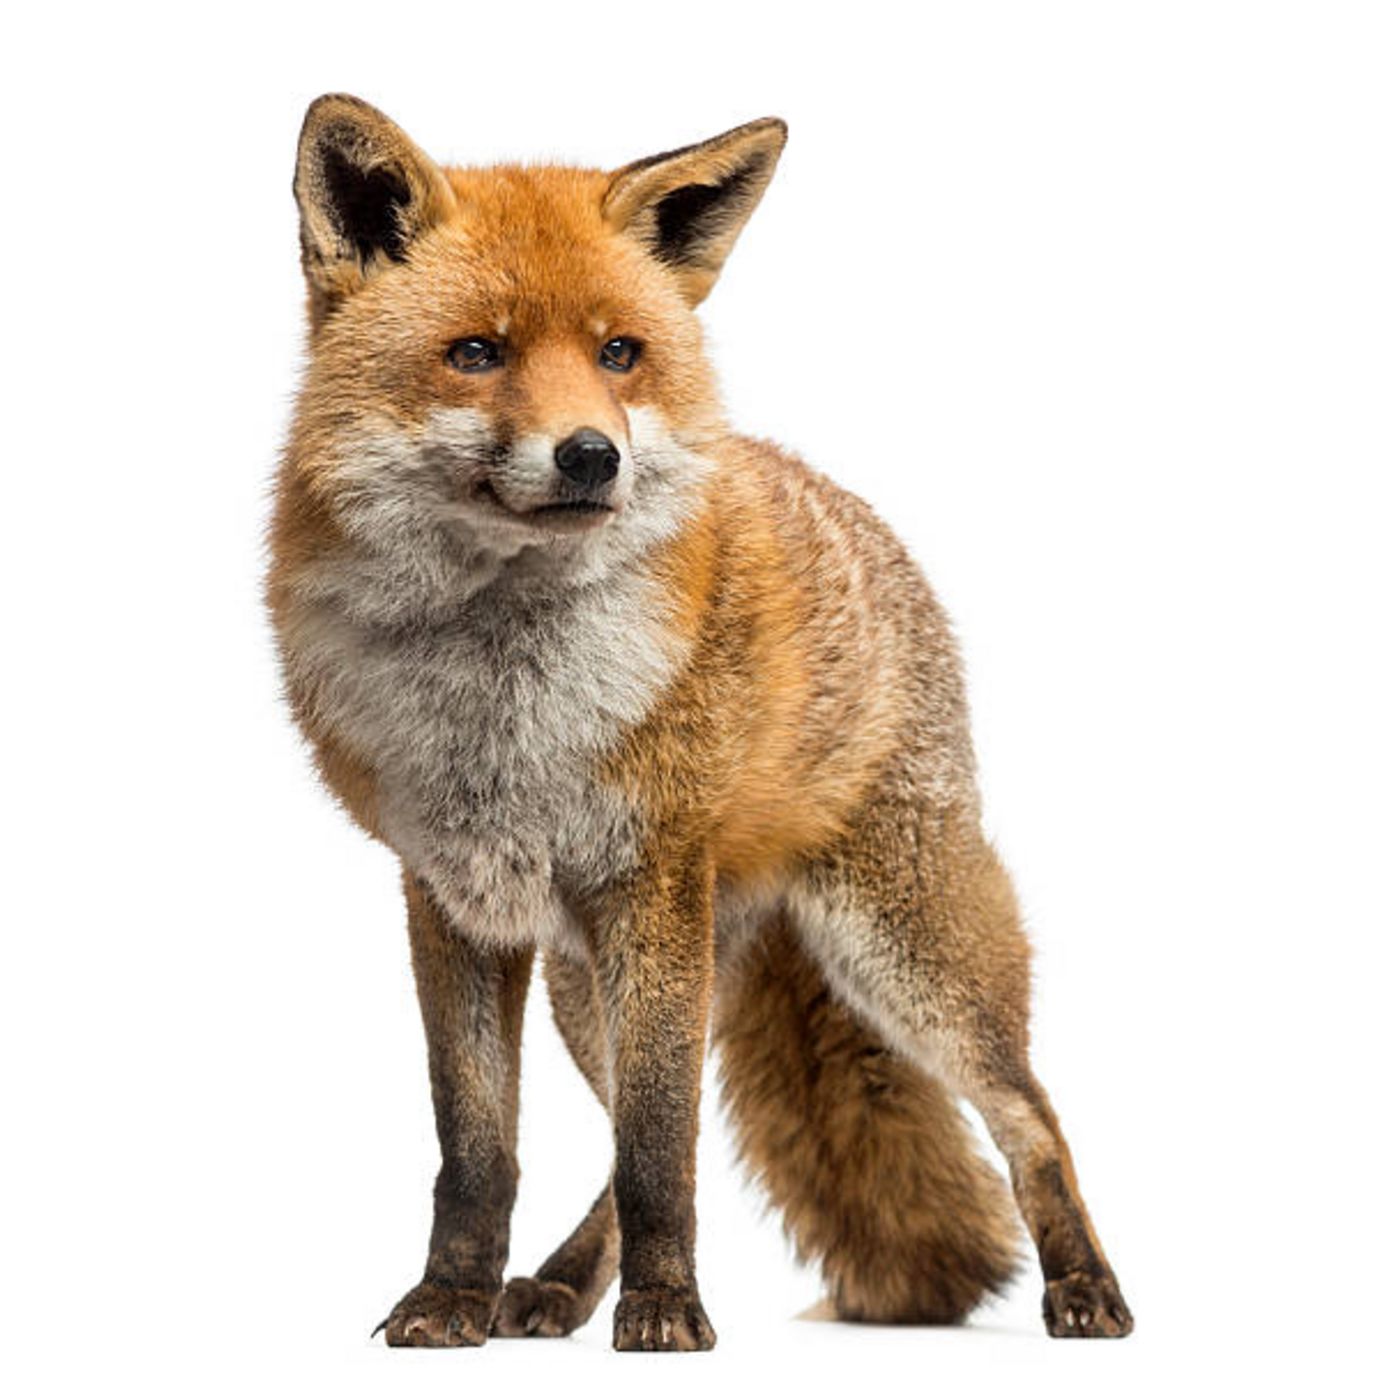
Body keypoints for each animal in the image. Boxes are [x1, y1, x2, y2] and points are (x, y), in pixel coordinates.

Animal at [267, 93, 1133, 1352]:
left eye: (618, 353)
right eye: (476, 352)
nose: (592, 454)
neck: (502, 700)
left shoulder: (650, 882)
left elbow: (658, 1145)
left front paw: (667, 1309)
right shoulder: (455, 898)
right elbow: (479, 1149)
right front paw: (451, 1298)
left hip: (899, 954)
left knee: (1030, 1114)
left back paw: (1085, 1285)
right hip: (598, 983)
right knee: (628, 1136)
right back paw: (554, 1285)